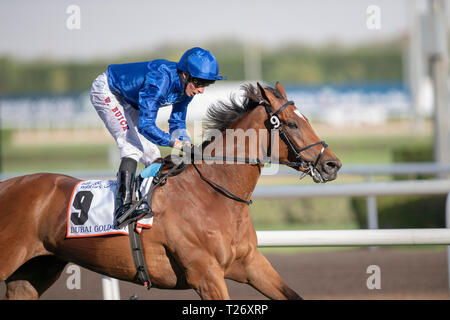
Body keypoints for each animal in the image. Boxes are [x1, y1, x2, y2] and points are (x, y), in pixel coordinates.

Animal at [0, 81, 342, 298]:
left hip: (33, 273)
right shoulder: (206, 275)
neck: (212, 195)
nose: (332, 164)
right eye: (292, 124)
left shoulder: (250, 264)